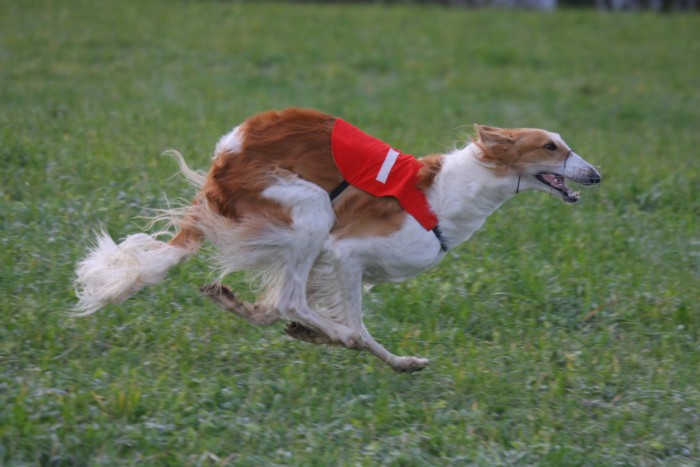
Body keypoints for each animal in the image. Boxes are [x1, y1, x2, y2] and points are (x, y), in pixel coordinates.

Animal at [74, 108, 601, 372]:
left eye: (566, 144)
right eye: (552, 146)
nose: (596, 174)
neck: (450, 192)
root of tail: (227, 154)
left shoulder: (339, 267)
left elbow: (281, 310)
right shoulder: (344, 252)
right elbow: (354, 327)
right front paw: (385, 355)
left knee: (277, 305)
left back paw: (235, 301)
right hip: (310, 209)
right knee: (292, 302)